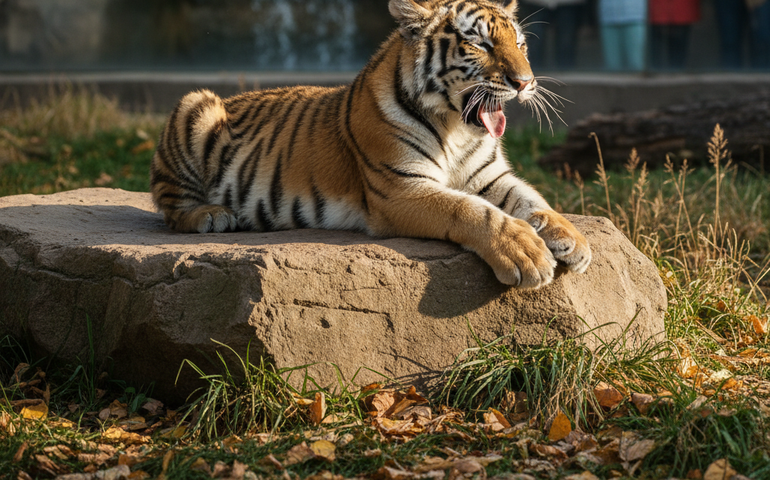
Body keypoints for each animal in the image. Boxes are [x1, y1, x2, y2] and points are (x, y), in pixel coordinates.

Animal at [150, 0, 591, 289]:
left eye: (521, 44)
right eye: (481, 44)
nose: (526, 82)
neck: (456, 129)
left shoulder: (489, 178)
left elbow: (531, 198)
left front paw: (573, 239)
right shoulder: (400, 189)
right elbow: (470, 211)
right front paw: (525, 252)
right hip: (196, 104)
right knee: (169, 207)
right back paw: (212, 215)